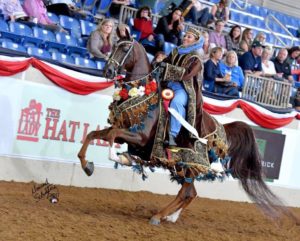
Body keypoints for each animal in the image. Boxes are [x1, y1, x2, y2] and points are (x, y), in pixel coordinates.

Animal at [78, 38, 300, 225]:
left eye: (125, 48)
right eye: (114, 44)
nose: (108, 70)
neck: (142, 96)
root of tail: (222, 129)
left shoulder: (139, 137)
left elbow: (111, 136)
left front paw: (118, 157)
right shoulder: (124, 131)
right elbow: (95, 135)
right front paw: (87, 165)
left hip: (191, 165)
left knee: (187, 193)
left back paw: (159, 216)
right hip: (185, 167)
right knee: (190, 193)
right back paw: (169, 216)